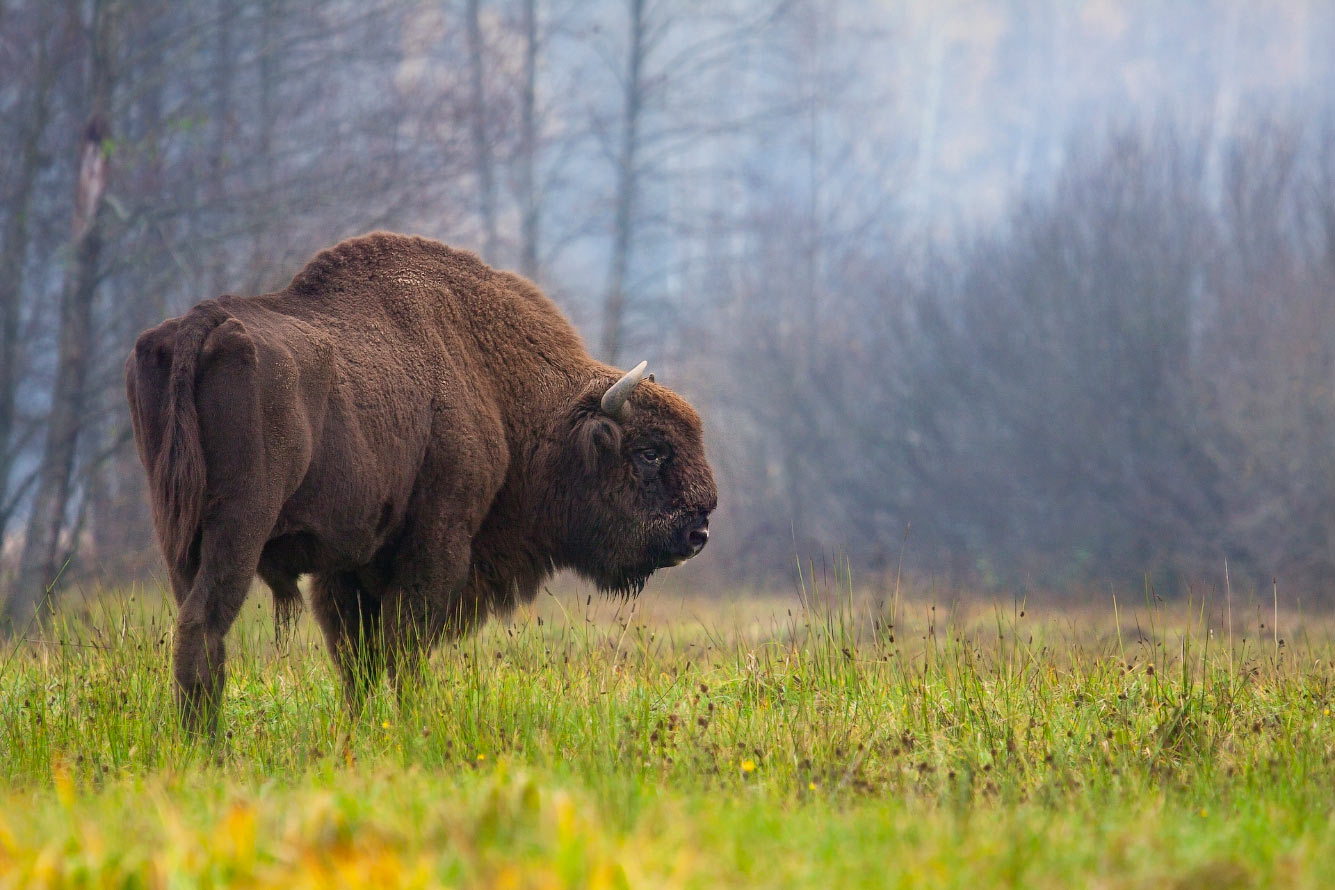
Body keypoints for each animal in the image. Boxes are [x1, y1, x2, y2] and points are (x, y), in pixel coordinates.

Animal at [122, 233, 720, 736]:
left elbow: (358, 658)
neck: (496, 384)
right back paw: (207, 744)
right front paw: (412, 725)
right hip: (240, 527)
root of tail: (201, 323)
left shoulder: (346, 567)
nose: (699, 529)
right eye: (649, 452)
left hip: (178, 534)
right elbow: (403, 648)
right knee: (204, 624)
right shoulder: (437, 543)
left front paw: (360, 729)